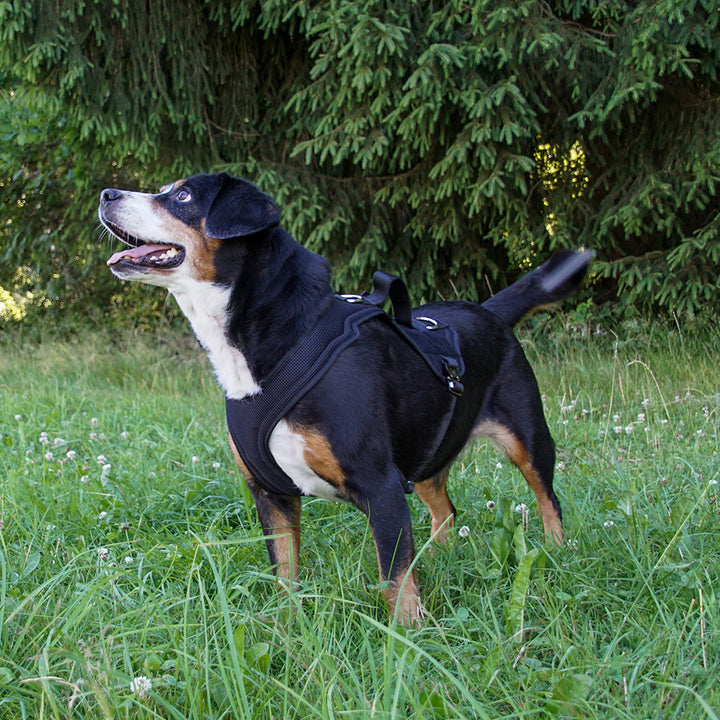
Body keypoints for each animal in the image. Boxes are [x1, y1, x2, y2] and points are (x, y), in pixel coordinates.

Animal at [97, 174, 592, 624]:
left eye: (181, 195)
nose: (106, 193)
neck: (278, 349)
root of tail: (488, 312)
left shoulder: (381, 486)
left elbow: (395, 580)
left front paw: (406, 642)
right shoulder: (272, 494)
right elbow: (285, 574)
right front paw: (289, 631)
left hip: (528, 437)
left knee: (548, 500)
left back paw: (555, 552)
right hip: (428, 451)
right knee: (446, 511)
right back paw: (436, 558)